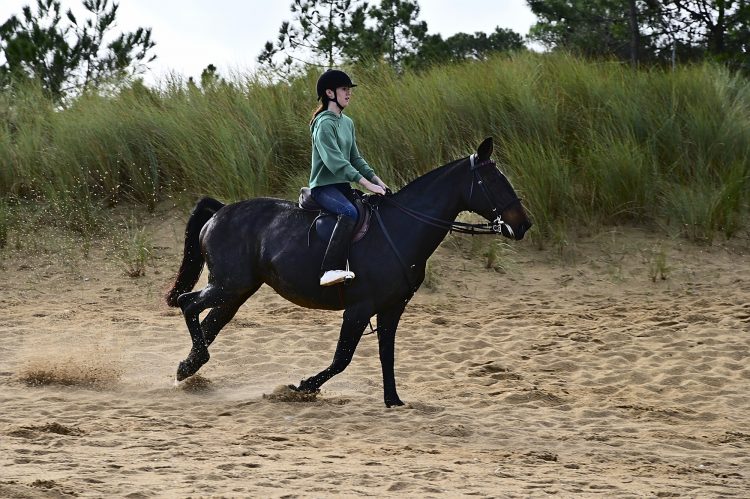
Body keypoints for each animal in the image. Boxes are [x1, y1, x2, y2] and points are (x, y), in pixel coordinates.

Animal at [165, 137, 532, 407]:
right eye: (494, 180)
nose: (523, 224)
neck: (400, 228)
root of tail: (220, 212)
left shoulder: (392, 308)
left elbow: (387, 354)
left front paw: (393, 400)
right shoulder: (359, 309)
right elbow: (342, 358)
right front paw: (303, 386)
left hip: (237, 291)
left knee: (209, 323)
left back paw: (189, 368)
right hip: (228, 285)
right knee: (188, 303)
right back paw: (192, 364)